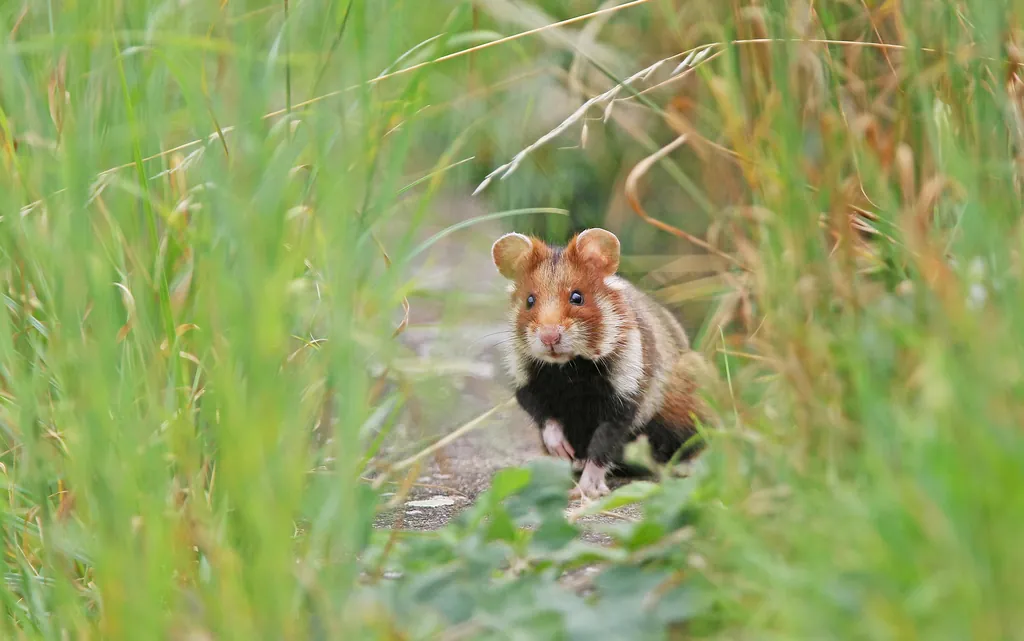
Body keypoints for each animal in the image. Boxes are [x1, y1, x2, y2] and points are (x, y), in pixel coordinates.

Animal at [491, 227, 710, 499]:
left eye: (577, 297)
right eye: (529, 301)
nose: (549, 337)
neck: (568, 369)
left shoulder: (625, 398)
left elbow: (602, 445)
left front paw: (588, 490)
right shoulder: (527, 387)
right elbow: (547, 420)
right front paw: (562, 452)